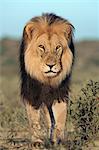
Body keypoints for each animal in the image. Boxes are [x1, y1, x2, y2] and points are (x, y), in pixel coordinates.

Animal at [19, 13, 74, 146]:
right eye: (41, 47)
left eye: (58, 47)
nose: (50, 66)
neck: (47, 79)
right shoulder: (32, 91)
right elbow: (34, 119)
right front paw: (37, 141)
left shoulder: (60, 91)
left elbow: (60, 116)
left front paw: (58, 140)